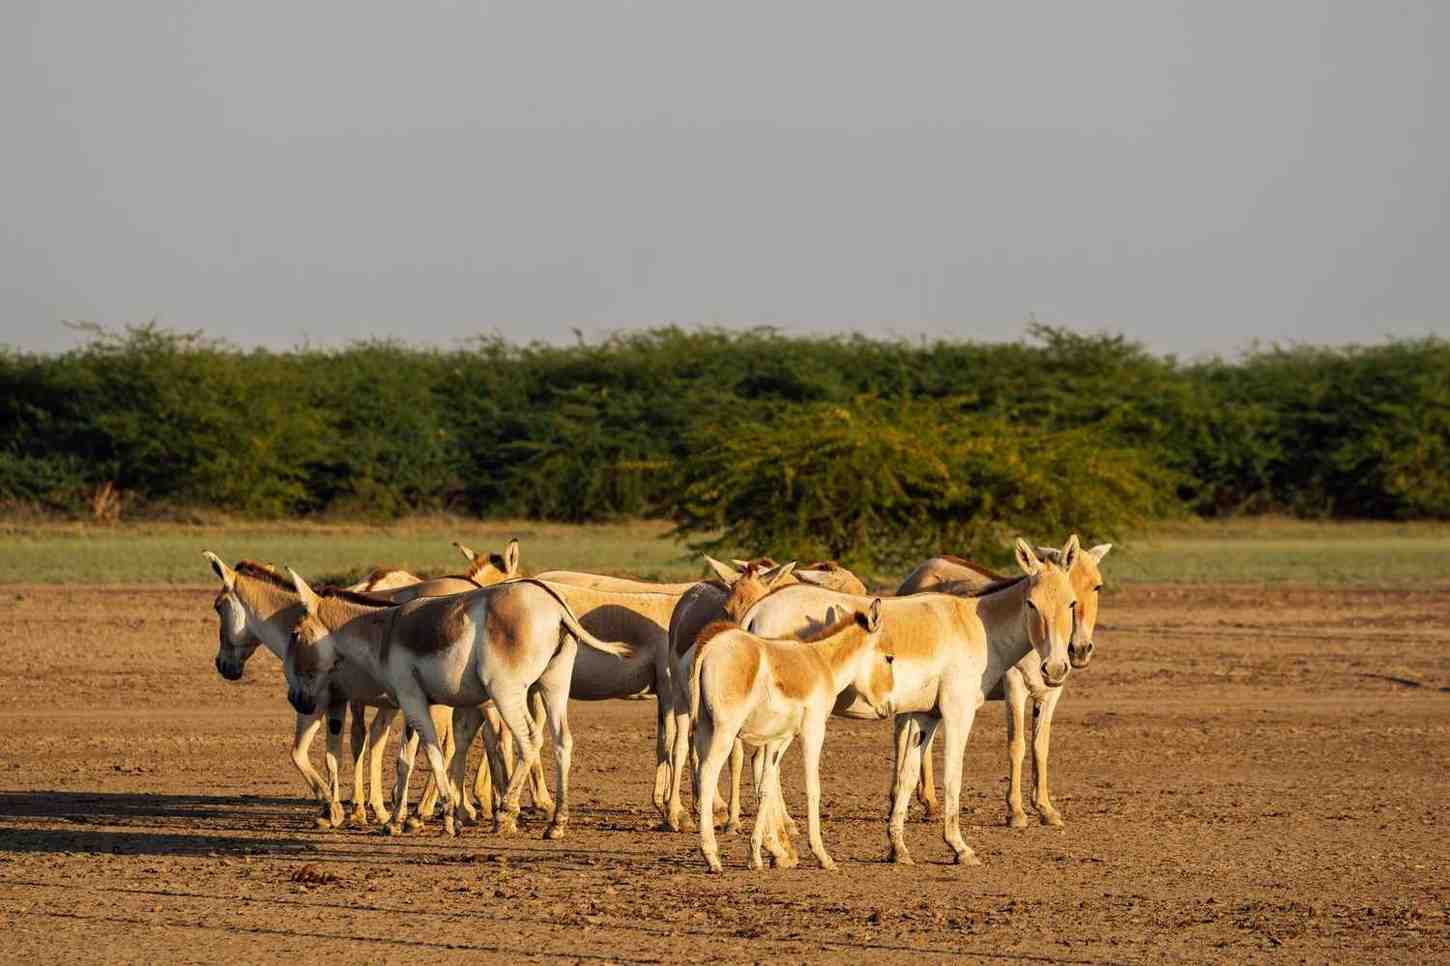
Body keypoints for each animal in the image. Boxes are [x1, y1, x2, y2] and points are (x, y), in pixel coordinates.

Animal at [282, 571, 635, 835]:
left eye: (295, 633)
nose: (296, 701)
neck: (385, 632)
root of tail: (556, 606)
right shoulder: (434, 703)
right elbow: (408, 758)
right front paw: (397, 821)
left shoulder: (412, 698)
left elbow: (432, 751)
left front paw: (448, 817)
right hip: (553, 685)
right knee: (563, 741)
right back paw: (556, 823)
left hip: (506, 691)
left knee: (530, 739)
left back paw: (506, 812)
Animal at [684, 597, 887, 870]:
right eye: (889, 658)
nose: (886, 708)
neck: (823, 663)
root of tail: (711, 645)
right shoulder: (814, 730)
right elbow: (813, 788)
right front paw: (822, 855)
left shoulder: (780, 738)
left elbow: (766, 788)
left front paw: (757, 855)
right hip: (725, 731)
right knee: (707, 774)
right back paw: (711, 856)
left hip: (705, 727)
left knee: (700, 771)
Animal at [742, 536, 1084, 858]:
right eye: (1031, 604)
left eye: (1071, 604)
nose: (1055, 668)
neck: (976, 627)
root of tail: (758, 610)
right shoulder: (958, 712)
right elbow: (954, 775)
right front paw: (959, 847)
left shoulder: (925, 715)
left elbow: (907, 774)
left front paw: (898, 848)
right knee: (765, 768)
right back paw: (778, 847)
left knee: (764, 767)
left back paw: (778, 847)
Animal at [893, 542, 1107, 829]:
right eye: (1031, 603)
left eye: (1097, 587)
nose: (1079, 650)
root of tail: (923, 567)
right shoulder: (1014, 688)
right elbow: (1017, 745)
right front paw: (1015, 811)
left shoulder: (1051, 693)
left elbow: (1041, 746)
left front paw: (1046, 809)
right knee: (901, 730)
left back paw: (929, 804)